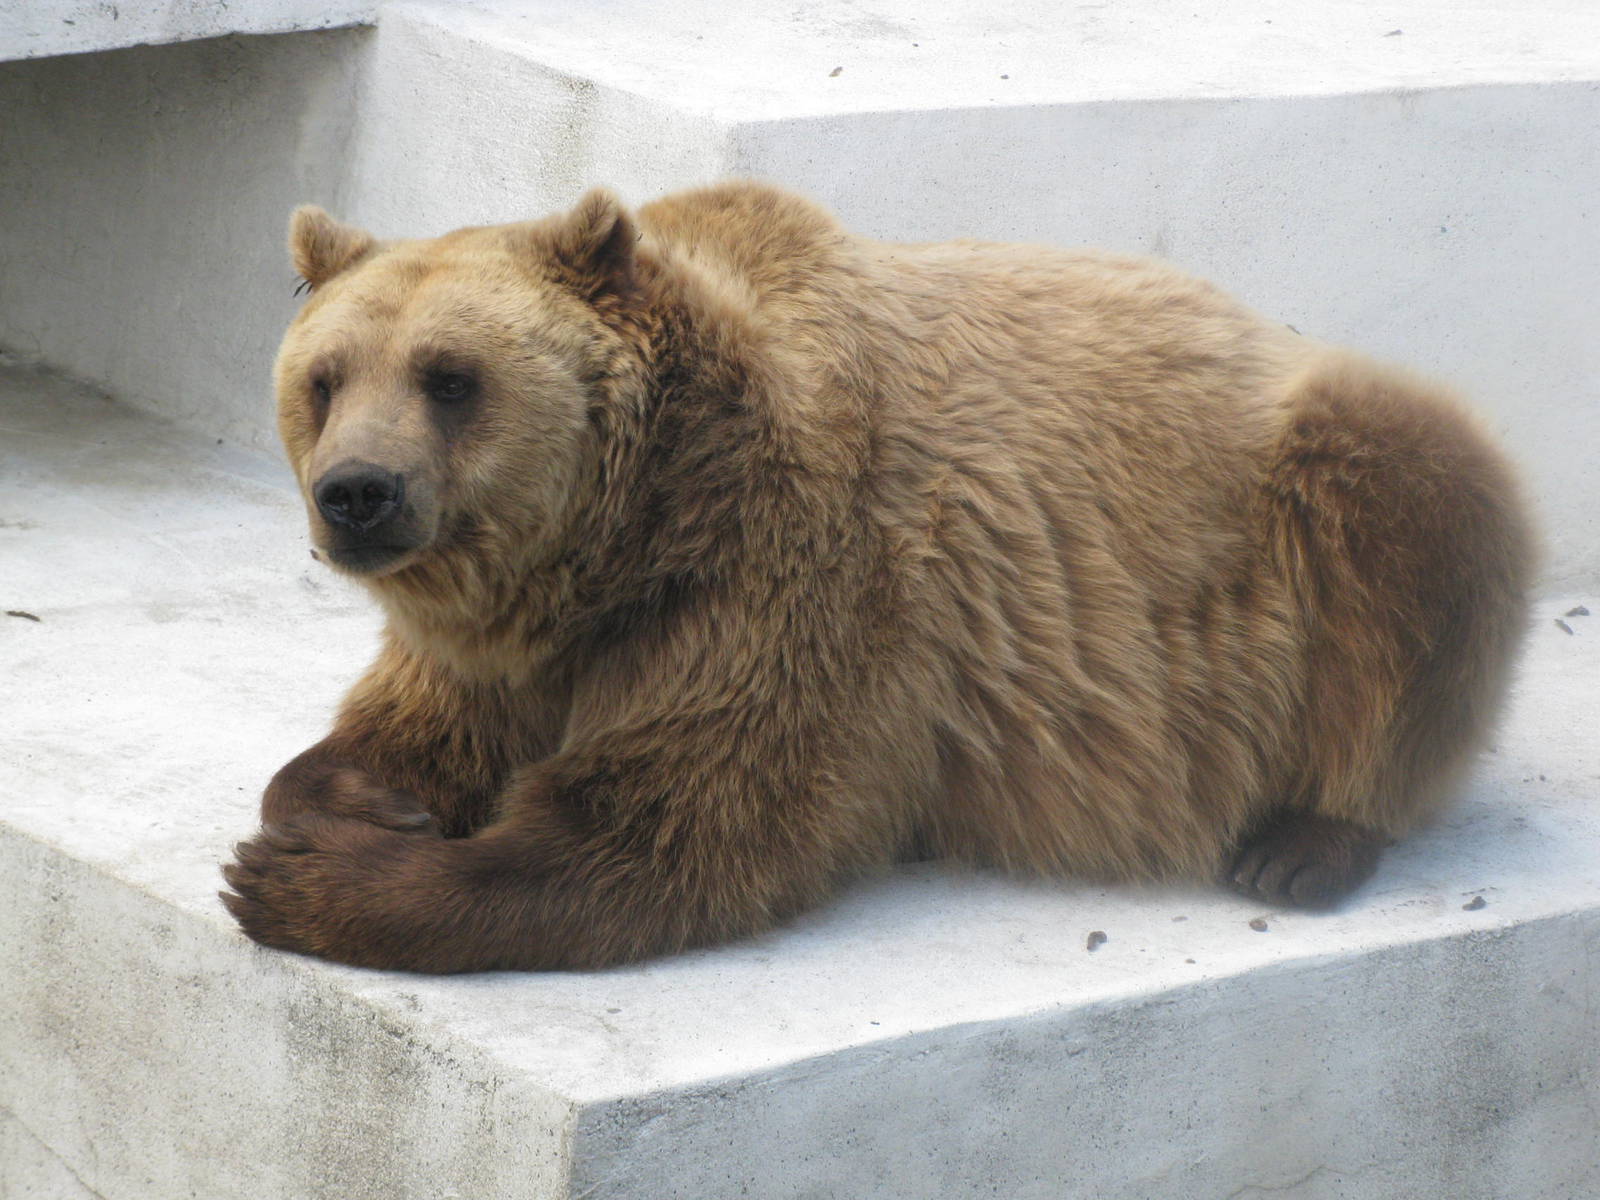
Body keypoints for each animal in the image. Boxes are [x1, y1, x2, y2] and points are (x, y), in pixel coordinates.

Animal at [221, 181, 1534, 973]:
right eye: (325, 378)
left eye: (450, 377)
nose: (358, 494)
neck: (626, 534)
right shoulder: (507, 638)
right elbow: (409, 724)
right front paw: (359, 801)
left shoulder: (792, 578)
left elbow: (673, 822)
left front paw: (305, 879)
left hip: (1307, 500)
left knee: (1410, 525)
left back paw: (1302, 841)